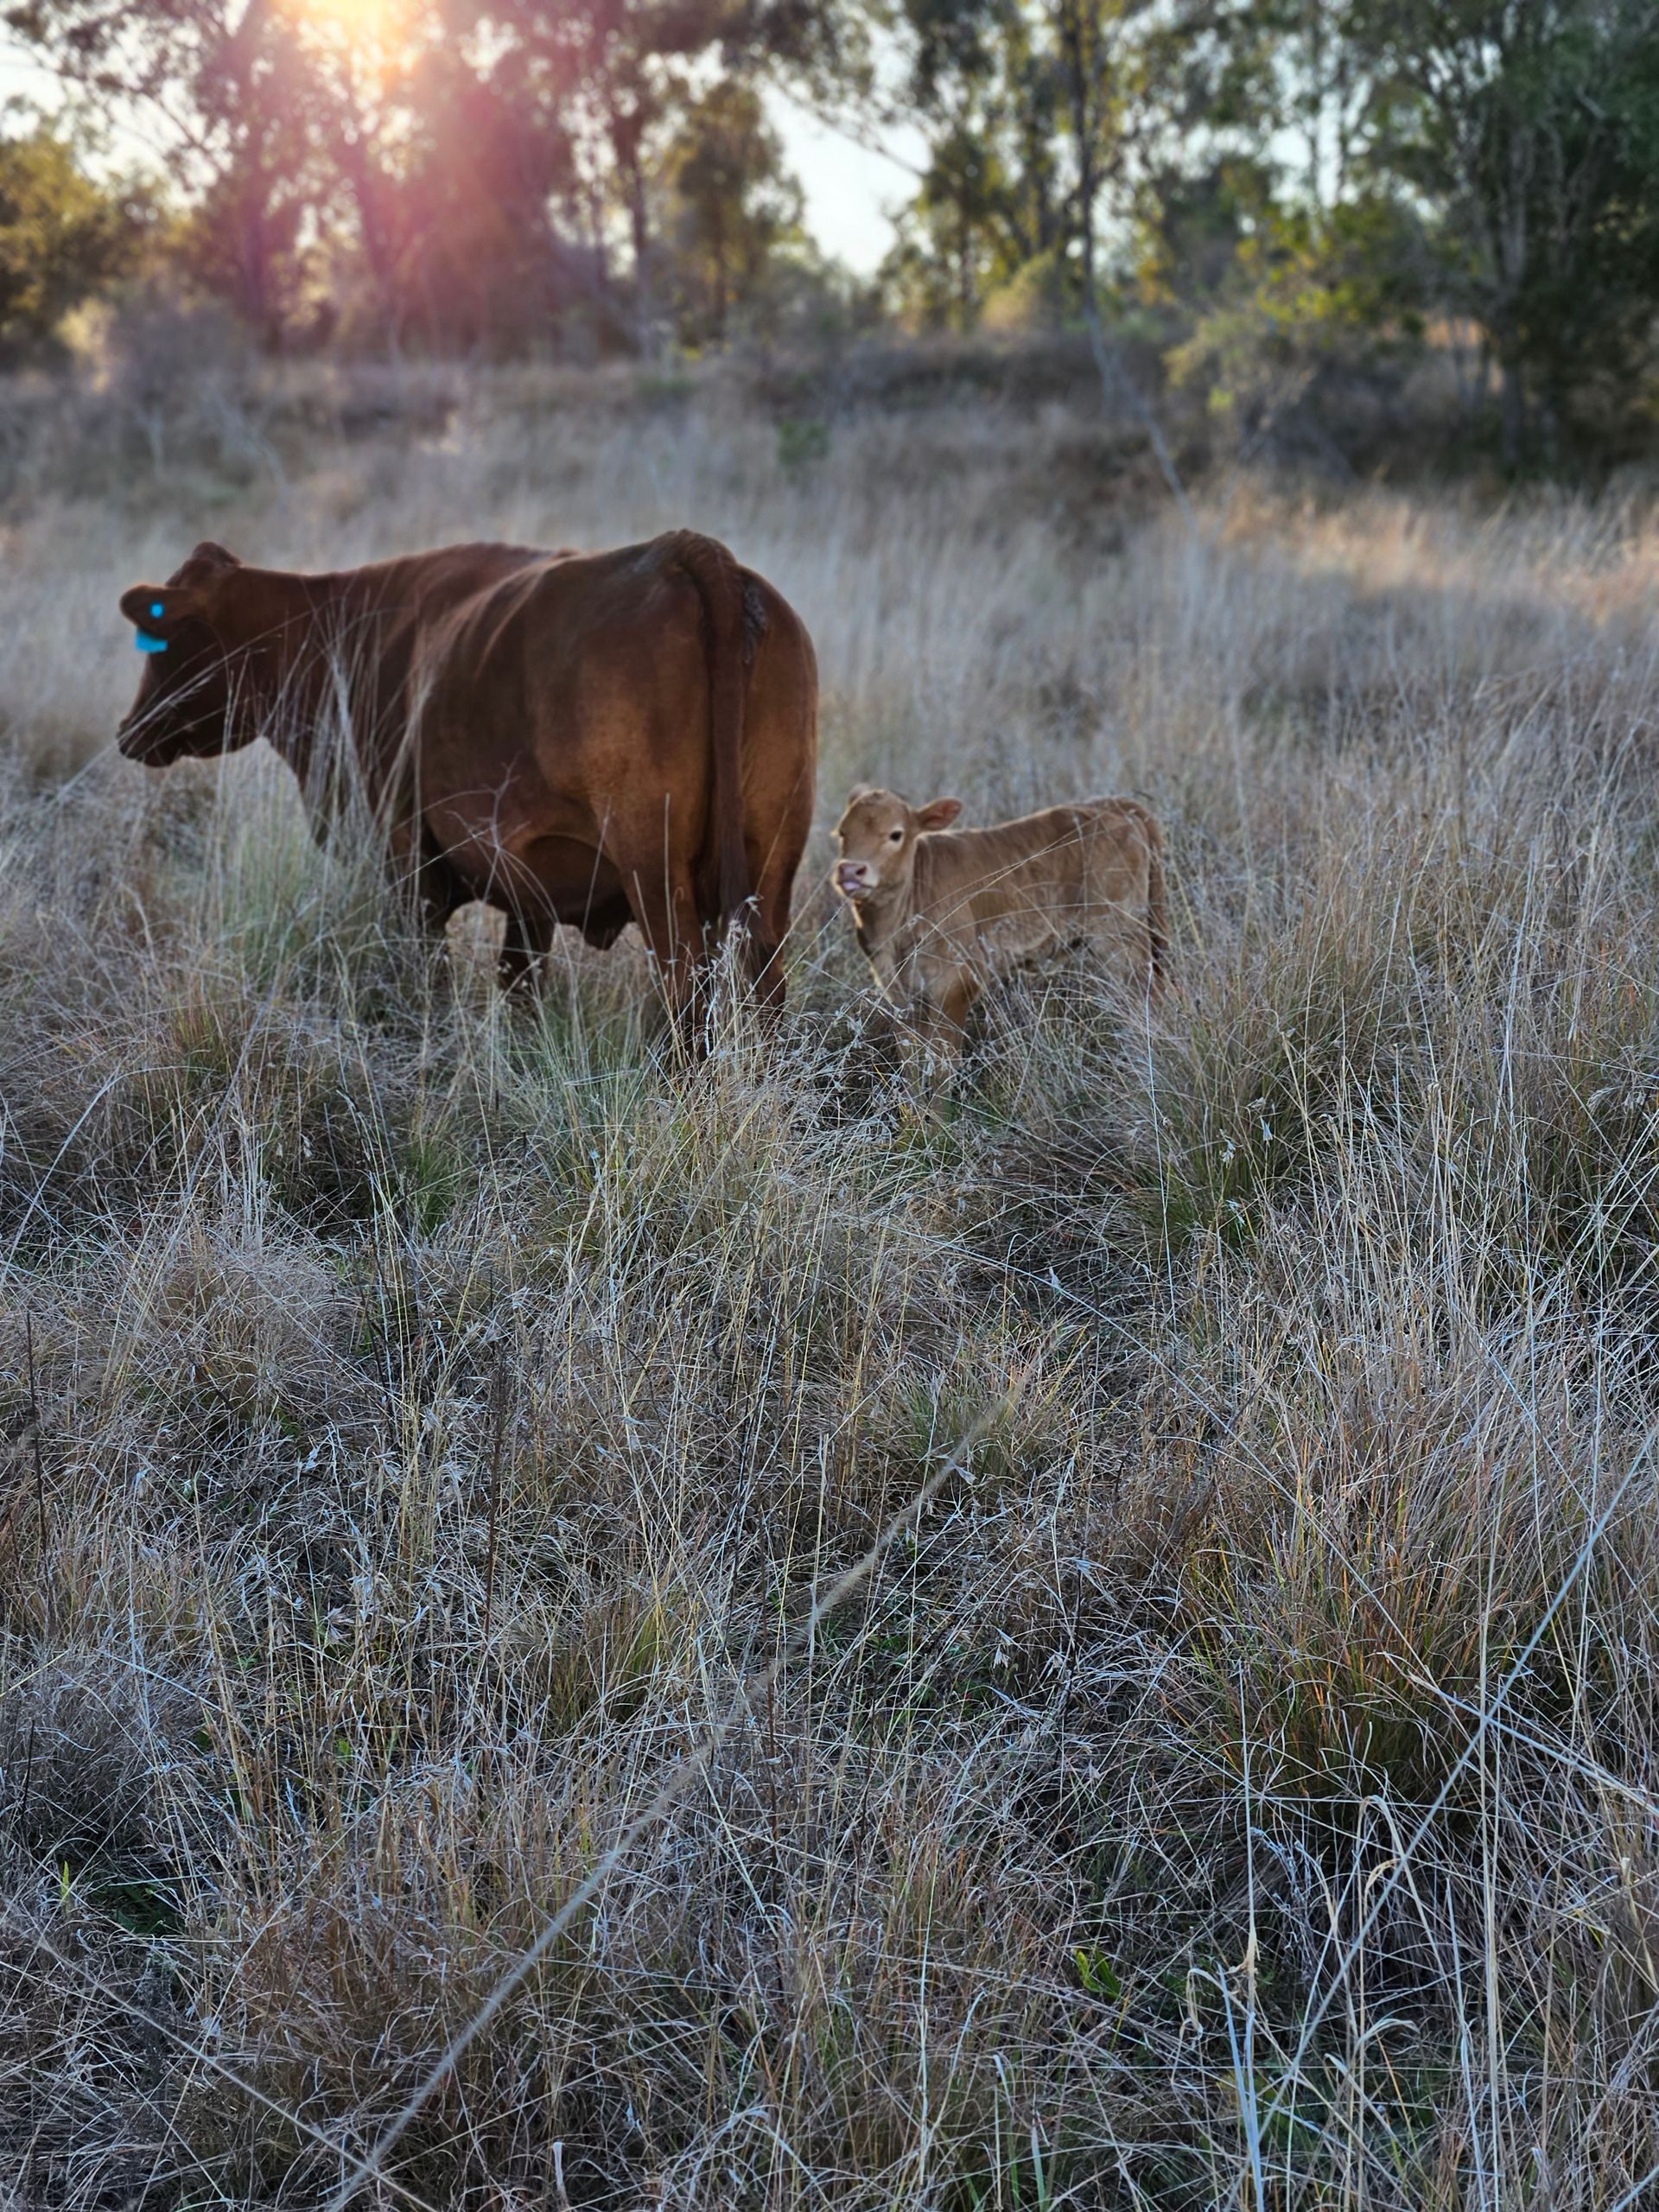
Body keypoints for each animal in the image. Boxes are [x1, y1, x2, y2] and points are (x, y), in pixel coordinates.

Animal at [117, 531, 818, 1018]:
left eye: (161, 642)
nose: (128, 732)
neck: (333, 634)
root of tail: (682, 552)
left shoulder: (402, 851)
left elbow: (427, 968)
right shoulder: (531, 879)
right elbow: (519, 981)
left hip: (653, 862)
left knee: (684, 984)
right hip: (770, 859)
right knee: (763, 979)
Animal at [831, 786, 1166, 1046]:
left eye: (896, 834)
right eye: (843, 833)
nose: (850, 871)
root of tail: (1112, 804)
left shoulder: (955, 986)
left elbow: (940, 1067)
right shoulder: (902, 999)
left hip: (1119, 938)